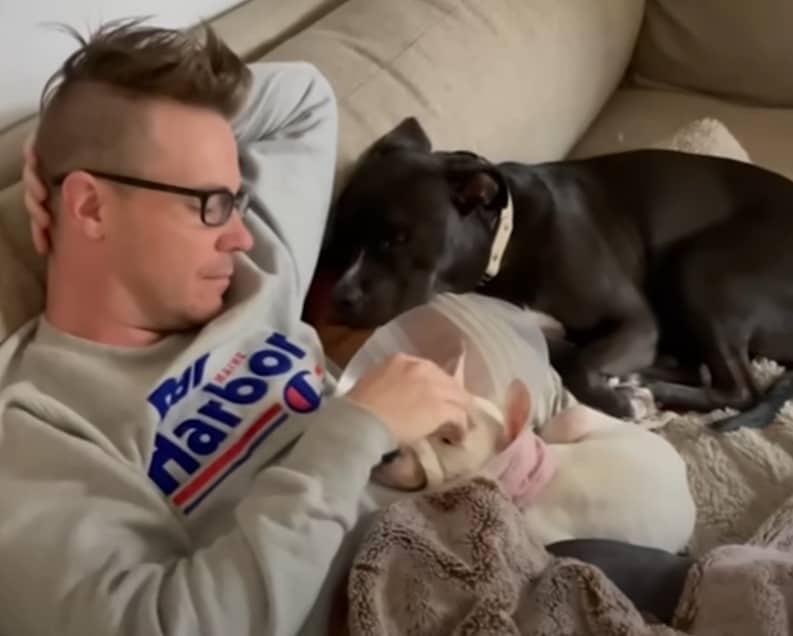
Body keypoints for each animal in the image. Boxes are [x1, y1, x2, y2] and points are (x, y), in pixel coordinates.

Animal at [324, 116, 793, 430]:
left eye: (397, 238)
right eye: (341, 240)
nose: (341, 298)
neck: (507, 239)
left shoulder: (636, 321)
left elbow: (581, 365)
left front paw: (624, 406)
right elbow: (567, 354)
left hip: (699, 268)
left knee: (739, 389)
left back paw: (648, 389)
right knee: (699, 368)